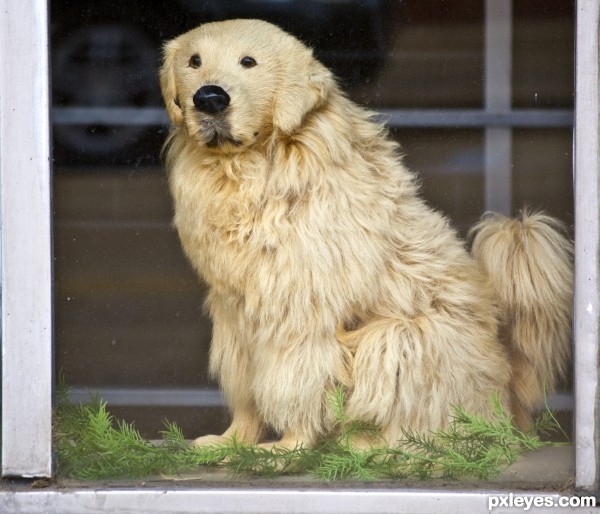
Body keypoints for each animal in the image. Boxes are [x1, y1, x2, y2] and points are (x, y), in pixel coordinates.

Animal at [159, 18, 572, 446]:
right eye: (194, 61)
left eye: (248, 61)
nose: (209, 98)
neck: (253, 167)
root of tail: (510, 408)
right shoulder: (235, 312)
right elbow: (246, 389)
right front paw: (234, 441)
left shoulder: (301, 315)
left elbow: (296, 384)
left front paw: (289, 447)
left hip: (395, 338)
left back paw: (365, 447)